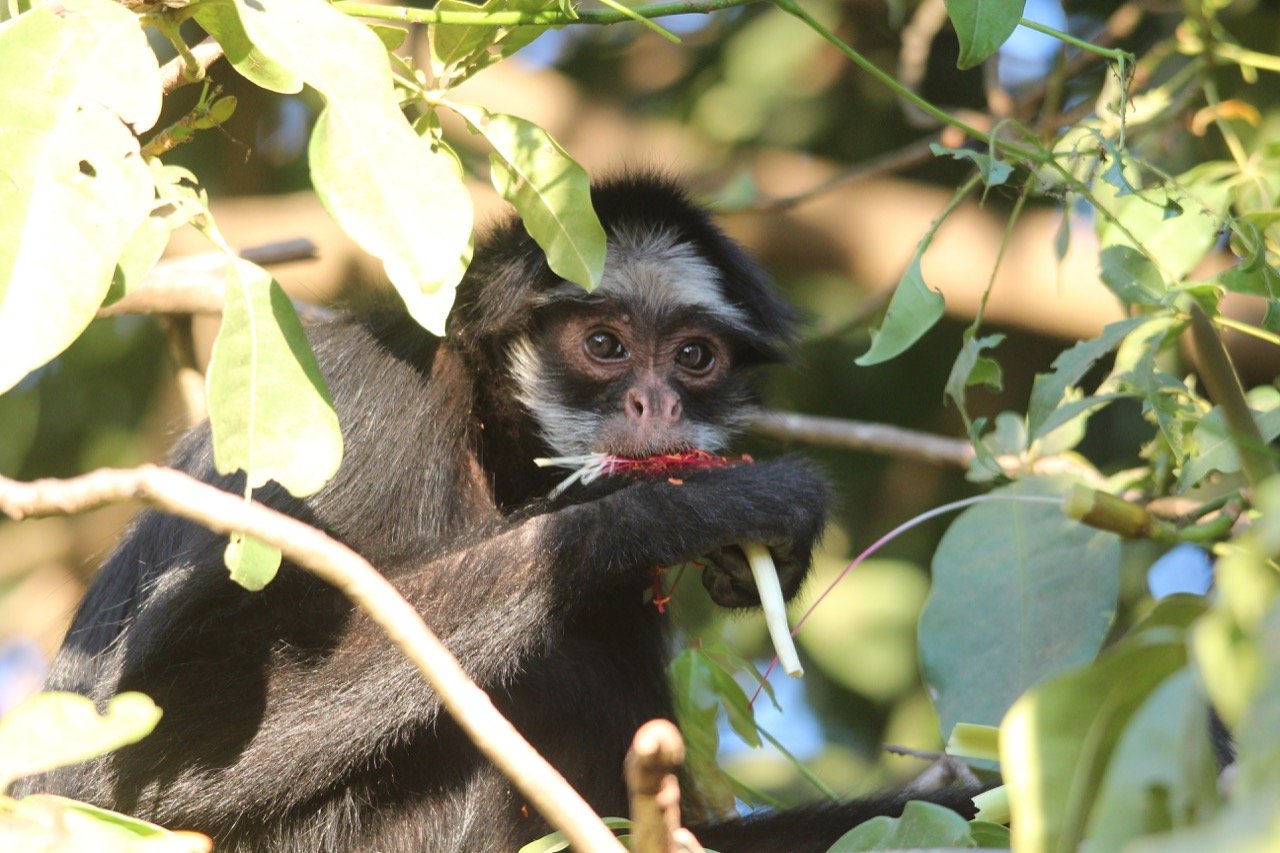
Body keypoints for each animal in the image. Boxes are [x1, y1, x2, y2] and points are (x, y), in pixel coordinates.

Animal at [20, 175, 972, 845]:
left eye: (695, 357)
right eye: (604, 344)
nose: (656, 405)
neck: (485, 439)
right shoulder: (363, 403)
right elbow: (142, 758)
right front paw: (680, 505)